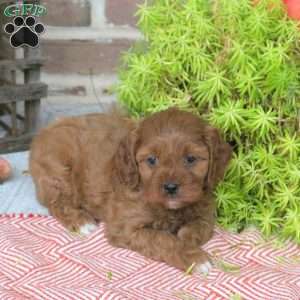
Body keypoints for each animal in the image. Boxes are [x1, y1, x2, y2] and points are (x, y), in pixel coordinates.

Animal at [29, 108, 232, 274]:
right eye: (151, 160)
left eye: (191, 159)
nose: (171, 187)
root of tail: (43, 132)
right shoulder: (125, 227)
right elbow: (162, 239)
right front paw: (193, 258)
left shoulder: (206, 208)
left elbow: (202, 227)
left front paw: (187, 238)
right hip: (59, 173)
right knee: (57, 203)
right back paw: (82, 222)